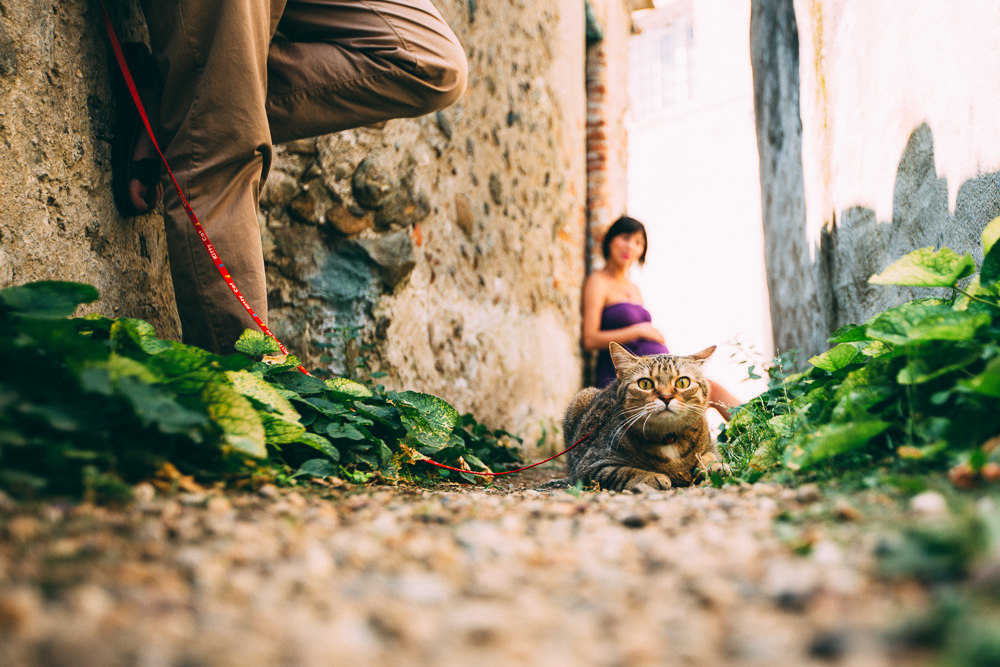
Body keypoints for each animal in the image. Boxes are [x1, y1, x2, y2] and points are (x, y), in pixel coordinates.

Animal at [568, 344, 732, 490]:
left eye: (682, 382)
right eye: (645, 383)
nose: (666, 397)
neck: (669, 440)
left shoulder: (710, 446)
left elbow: (710, 456)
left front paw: (715, 466)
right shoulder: (590, 466)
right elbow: (623, 471)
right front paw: (651, 476)